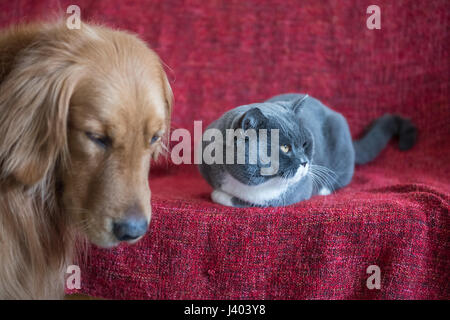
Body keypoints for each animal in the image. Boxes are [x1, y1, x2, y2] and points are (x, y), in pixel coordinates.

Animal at [199, 92, 416, 208]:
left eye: (305, 144)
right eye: (285, 147)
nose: (304, 162)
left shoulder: (293, 192)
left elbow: (250, 199)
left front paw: (220, 195)